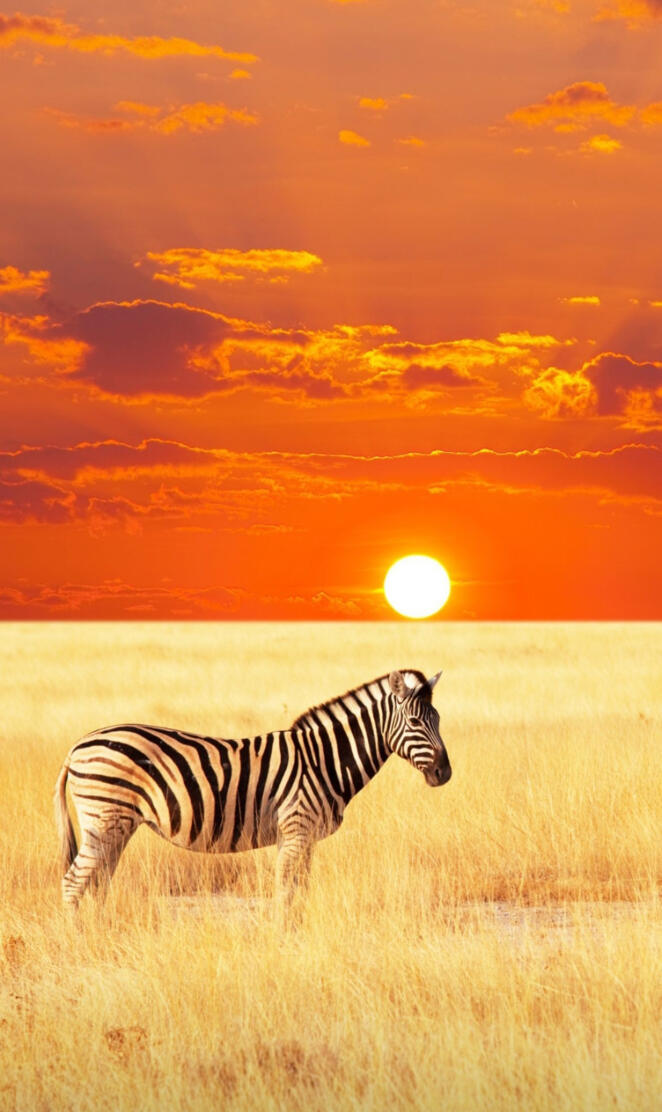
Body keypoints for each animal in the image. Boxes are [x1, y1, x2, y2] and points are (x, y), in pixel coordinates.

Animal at [54, 668, 451, 923]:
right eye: (415, 722)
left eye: (438, 720)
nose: (444, 773)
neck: (323, 760)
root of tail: (76, 747)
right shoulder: (296, 830)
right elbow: (287, 894)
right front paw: (285, 942)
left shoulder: (303, 838)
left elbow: (299, 892)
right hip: (104, 820)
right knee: (74, 883)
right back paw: (79, 941)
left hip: (117, 824)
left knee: (98, 882)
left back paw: (101, 933)